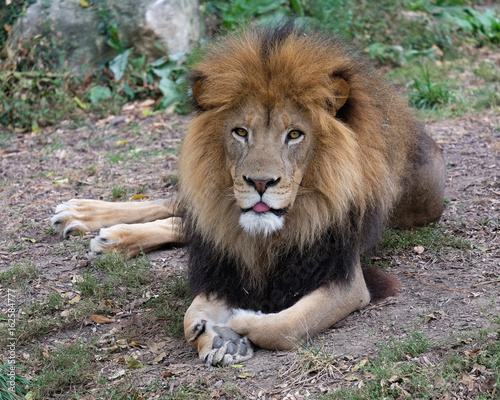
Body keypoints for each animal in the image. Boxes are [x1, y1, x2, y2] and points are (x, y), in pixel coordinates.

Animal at [51, 21, 446, 366]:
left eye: (295, 134)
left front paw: (235, 326)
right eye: (241, 132)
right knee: (180, 210)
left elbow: (285, 326)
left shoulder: (346, 278)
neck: (272, 235)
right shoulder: (226, 255)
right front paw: (215, 334)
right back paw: (90, 219)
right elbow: (192, 311)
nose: (259, 183)